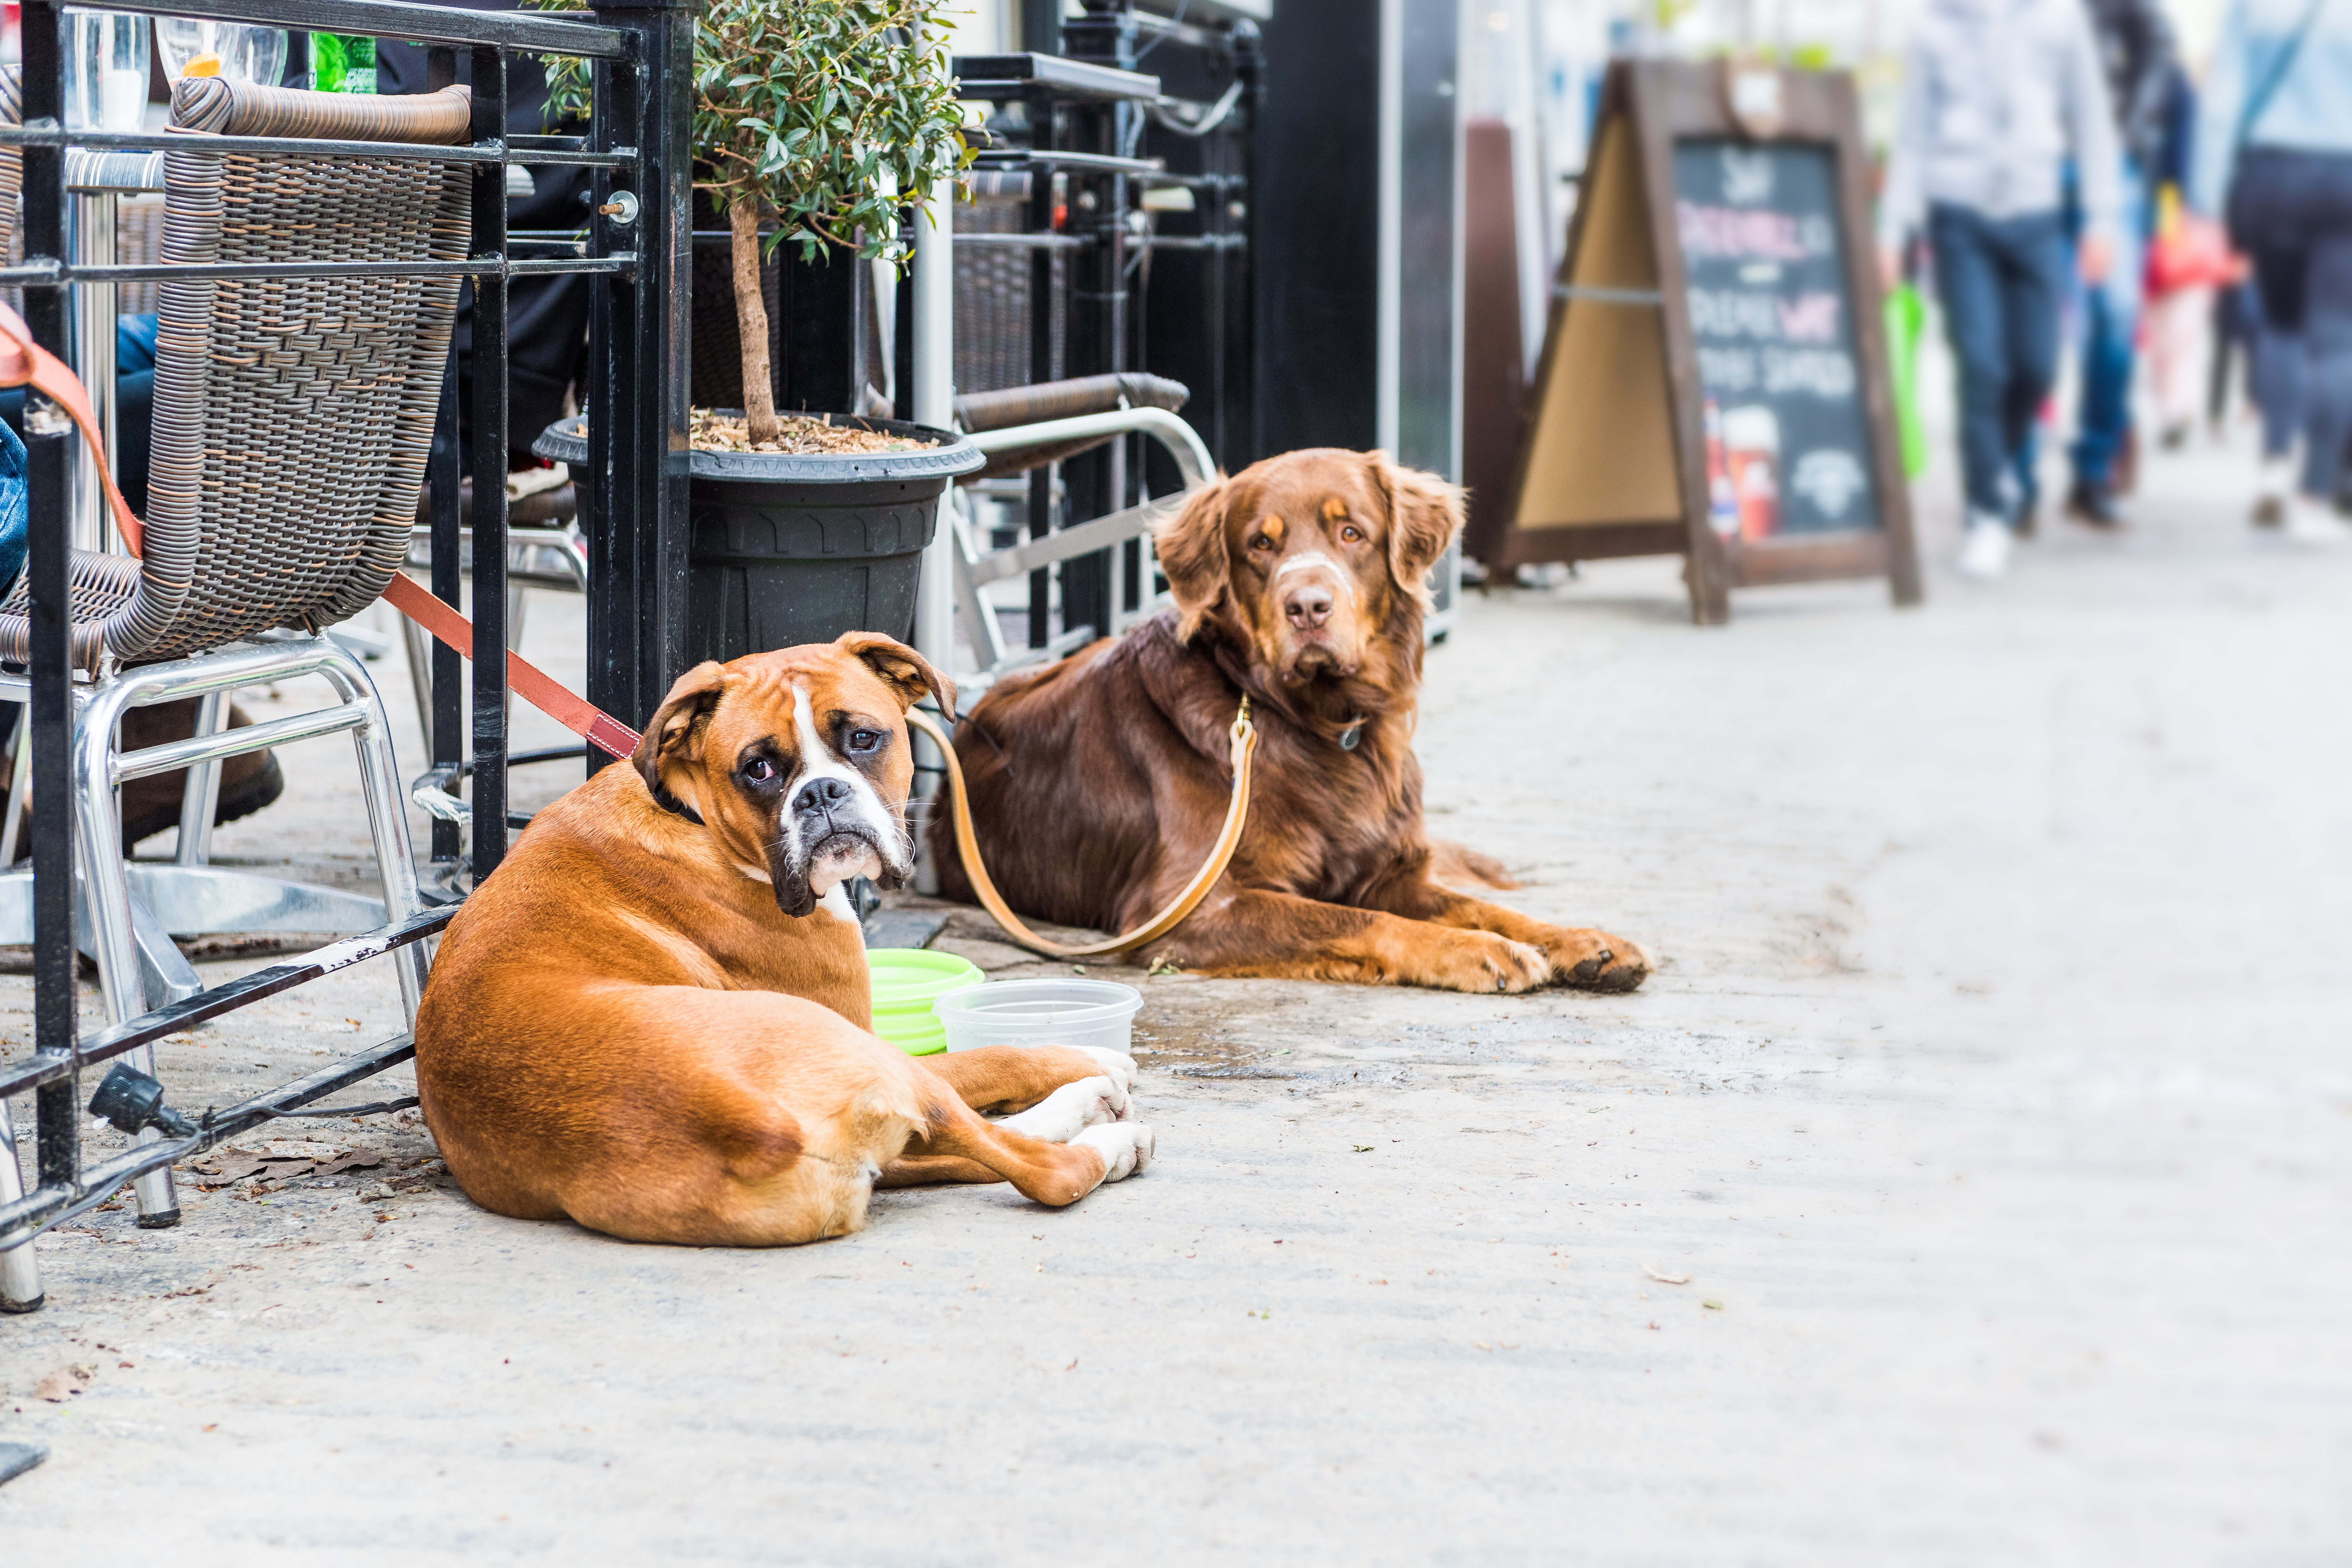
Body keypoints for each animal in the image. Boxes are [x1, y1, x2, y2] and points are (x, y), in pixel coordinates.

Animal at [426, 630, 1166, 1241]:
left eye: (863, 739)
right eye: (758, 768)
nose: (821, 794)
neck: (695, 817)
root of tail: (752, 1126)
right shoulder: (863, 1027)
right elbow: (988, 1058)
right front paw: (1086, 1057)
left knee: (959, 1152)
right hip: (860, 1052)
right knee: (1032, 1165)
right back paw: (1101, 1124)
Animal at [926, 451, 1646, 992]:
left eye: (1351, 533)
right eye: (1260, 544)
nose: (1307, 607)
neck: (1317, 727)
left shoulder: (1391, 872)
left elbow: (1484, 906)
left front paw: (1580, 940)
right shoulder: (1190, 907)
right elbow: (1356, 920)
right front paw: (1478, 951)